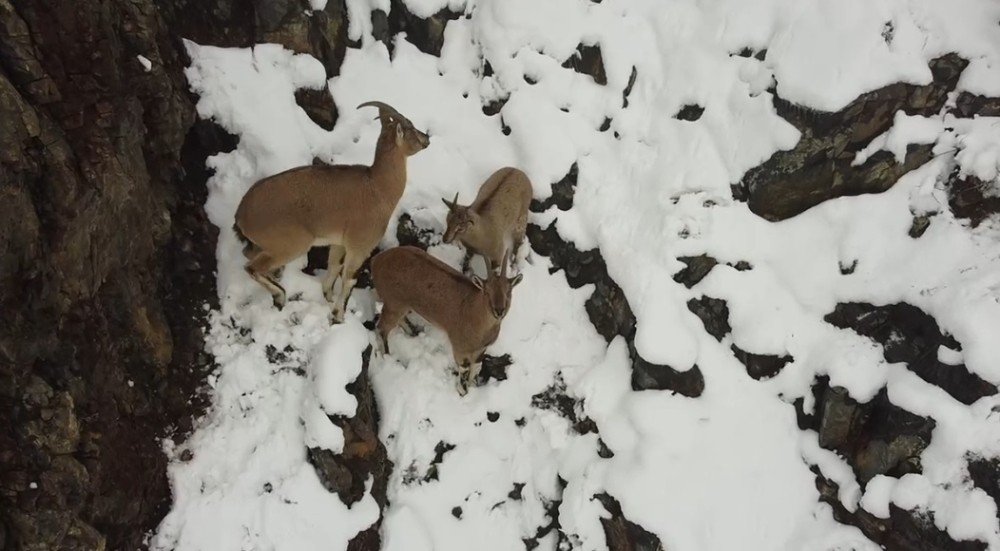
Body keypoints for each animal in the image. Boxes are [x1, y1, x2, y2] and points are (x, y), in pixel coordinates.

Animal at [234, 101, 430, 322]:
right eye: (410, 127)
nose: (426, 139)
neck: (377, 187)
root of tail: (242, 215)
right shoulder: (360, 247)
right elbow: (349, 279)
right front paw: (338, 316)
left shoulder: (338, 244)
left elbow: (333, 268)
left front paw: (328, 299)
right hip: (291, 245)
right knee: (252, 267)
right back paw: (280, 295)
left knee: (249, 255)